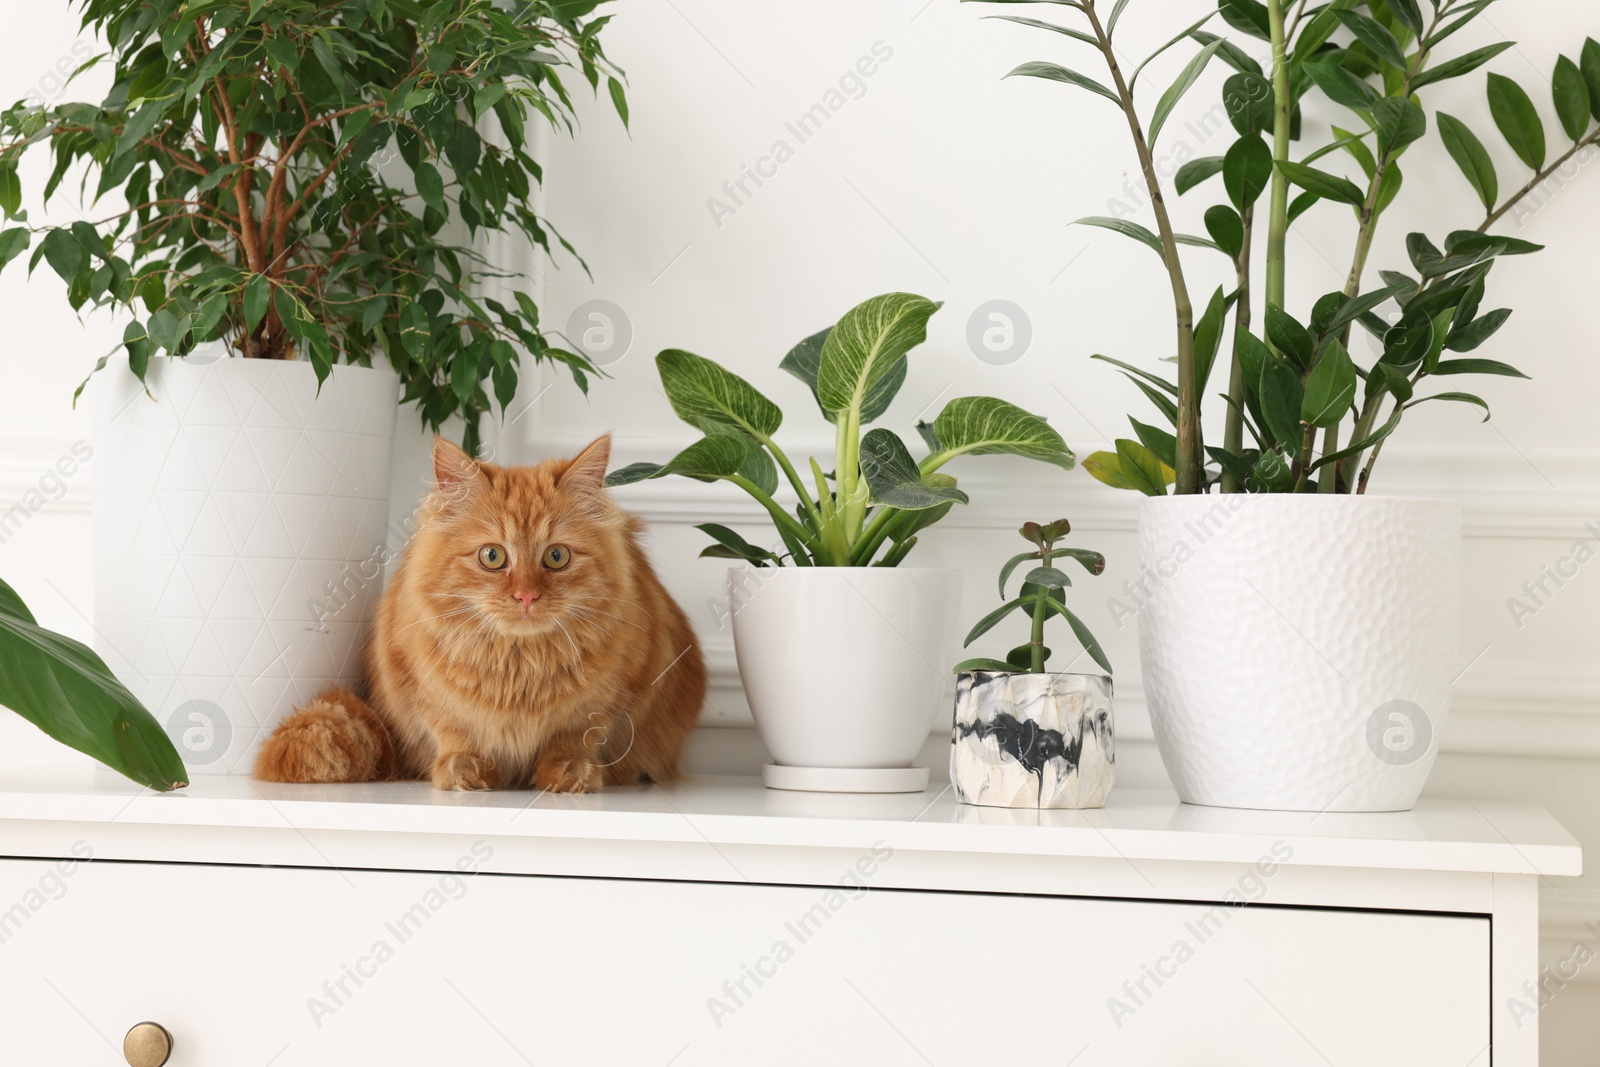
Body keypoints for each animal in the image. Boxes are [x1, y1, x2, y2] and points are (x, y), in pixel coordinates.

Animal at [256, 435, 707, 793]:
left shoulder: (612, 698)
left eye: (556, 557)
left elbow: (572, 739)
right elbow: (455, 734)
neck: (519, 665)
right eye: (493, 557)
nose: (526, 596)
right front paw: (466, 771)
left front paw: (569, 773)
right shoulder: (419, 688)